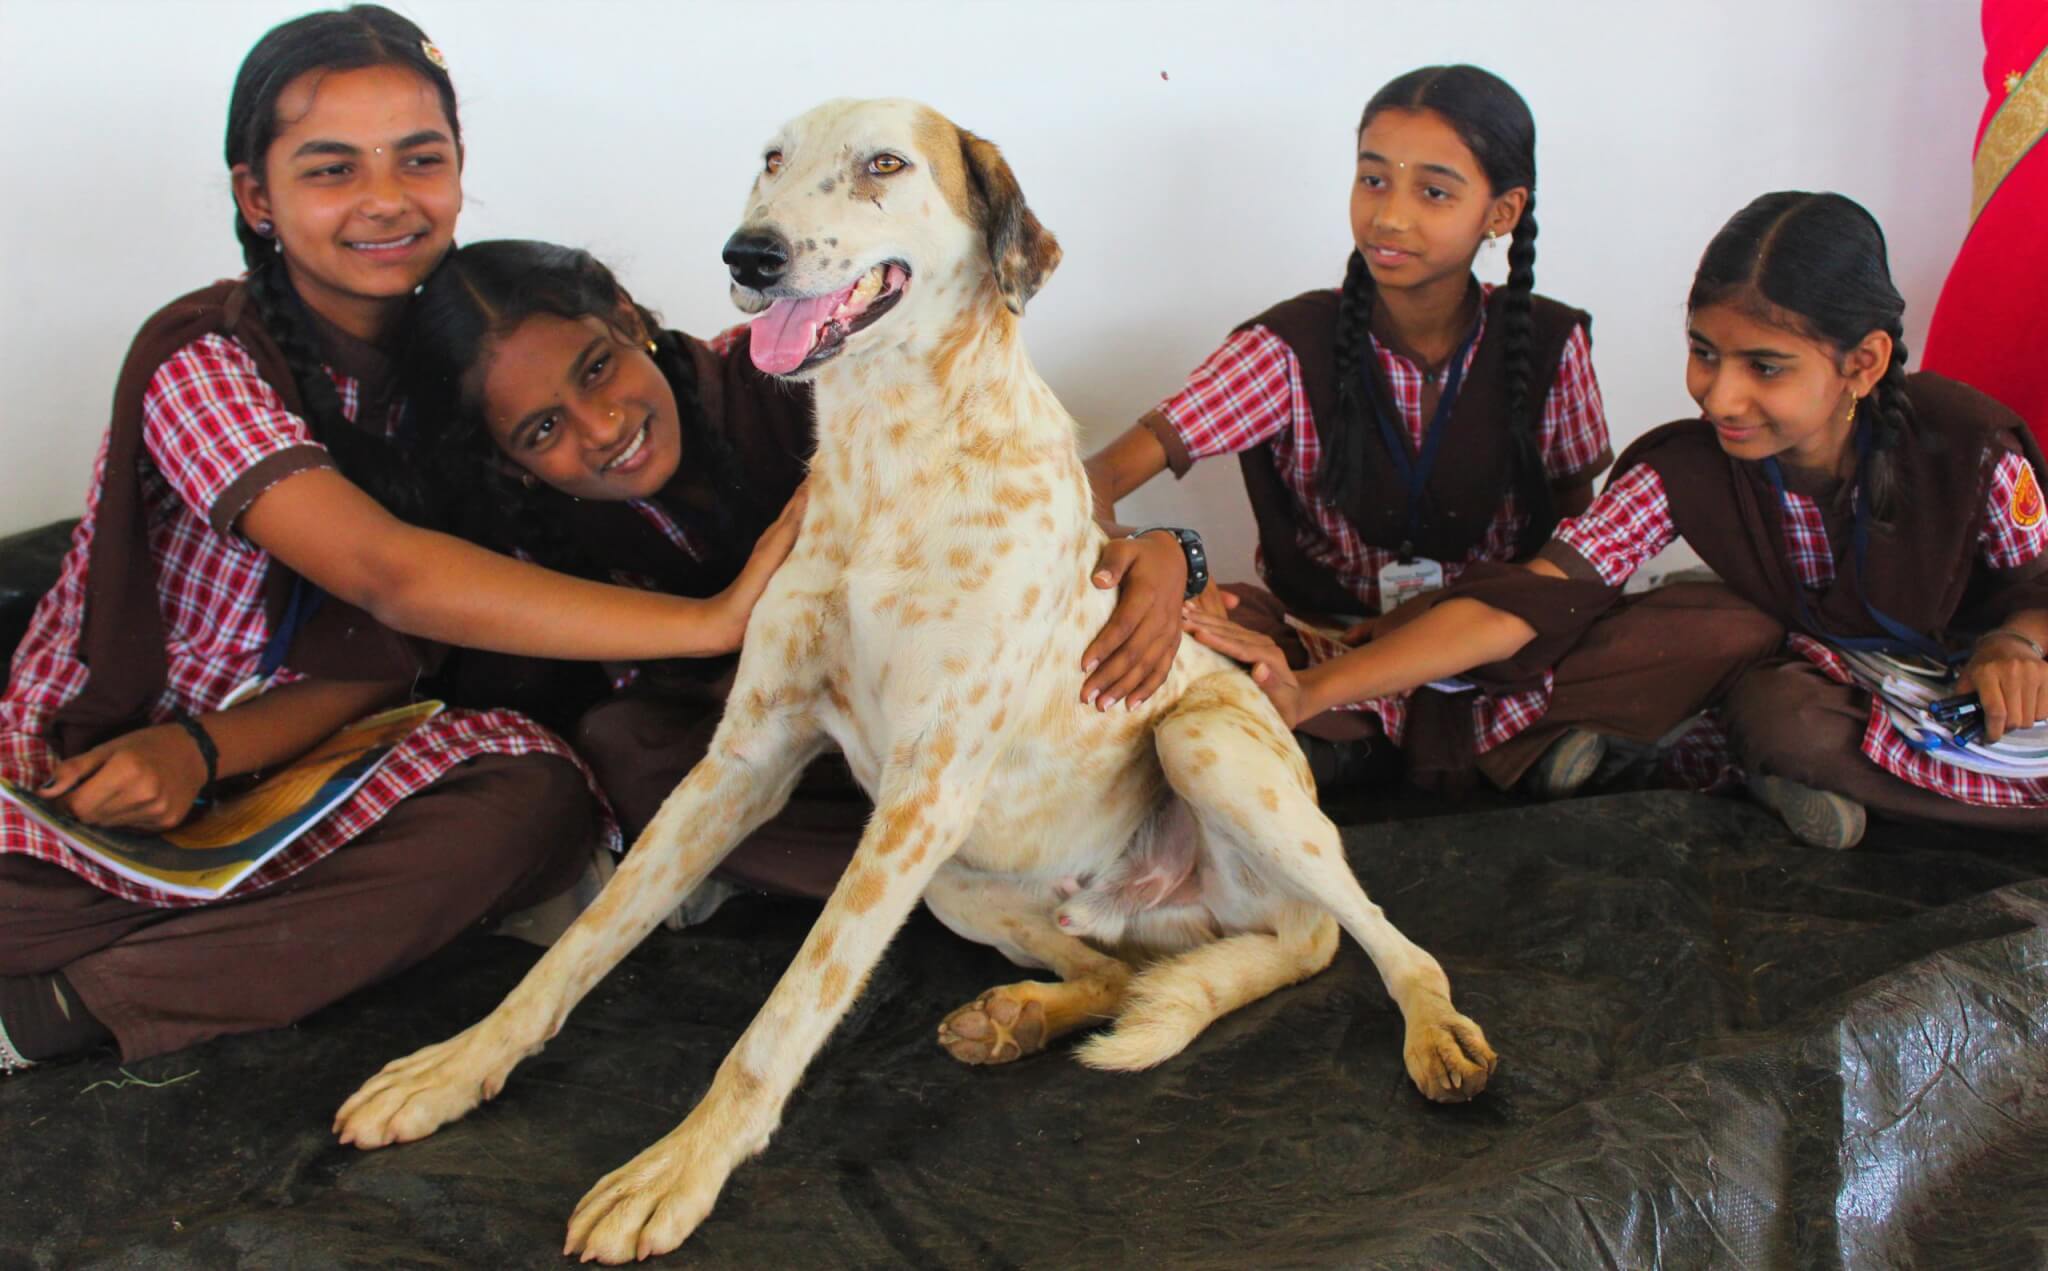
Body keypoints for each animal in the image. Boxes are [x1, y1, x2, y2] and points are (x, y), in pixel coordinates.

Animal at [331, 99, 1490, 1260]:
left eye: (884, 164)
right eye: (770, 162)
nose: (747, 253)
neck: (888, 453)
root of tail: (1205, 916)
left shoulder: (923, 790)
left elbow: (792, 1004)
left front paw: (679, 1167)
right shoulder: (747, 759)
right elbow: (580, 940)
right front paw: (456, 1065)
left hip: (1198, 751)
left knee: (1376, 942)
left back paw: (1431, 1027)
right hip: (956, 883)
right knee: (1119, 972)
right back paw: (1021, 1015)